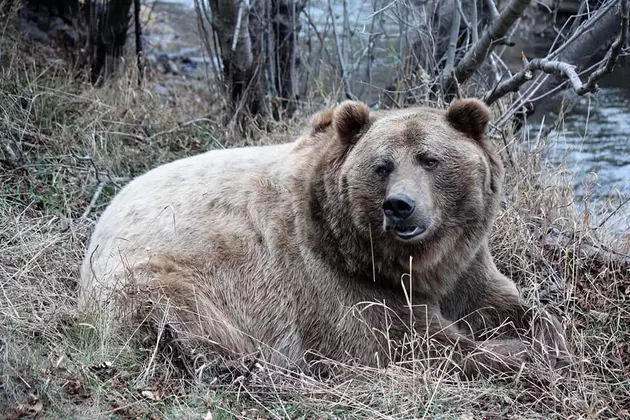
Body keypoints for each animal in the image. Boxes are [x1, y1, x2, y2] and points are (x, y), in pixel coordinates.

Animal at [79, 97, 572, 378]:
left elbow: (509, 305)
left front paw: (545, 337)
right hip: (152, 275)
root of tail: (99, 226)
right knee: (192, 323)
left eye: (429, 159)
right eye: (382, 165)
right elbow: (413, 343)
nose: (400, 206)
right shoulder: (337, 283)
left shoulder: (467, 263)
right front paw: (517, 354)